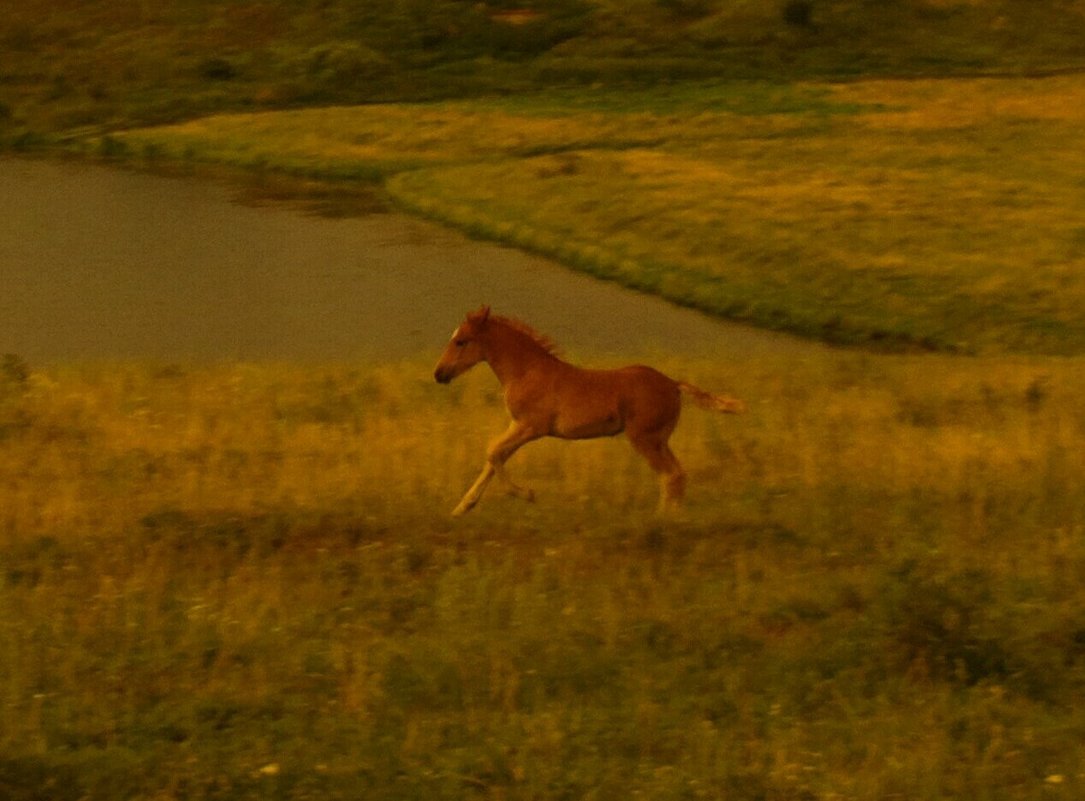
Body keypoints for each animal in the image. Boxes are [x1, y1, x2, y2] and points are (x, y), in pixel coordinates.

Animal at [436, 301, 742, 514]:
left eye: (460, 341)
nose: (439, 374)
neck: (526, 371)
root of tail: (673, 384)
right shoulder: (516, 424)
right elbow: (493, 457)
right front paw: (462, 508)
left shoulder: (533, 427)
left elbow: (493, 451)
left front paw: (528, 495)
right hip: (659, 440)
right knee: (678, 474)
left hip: (644, 439)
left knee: (671, 475)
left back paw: (664, 520)